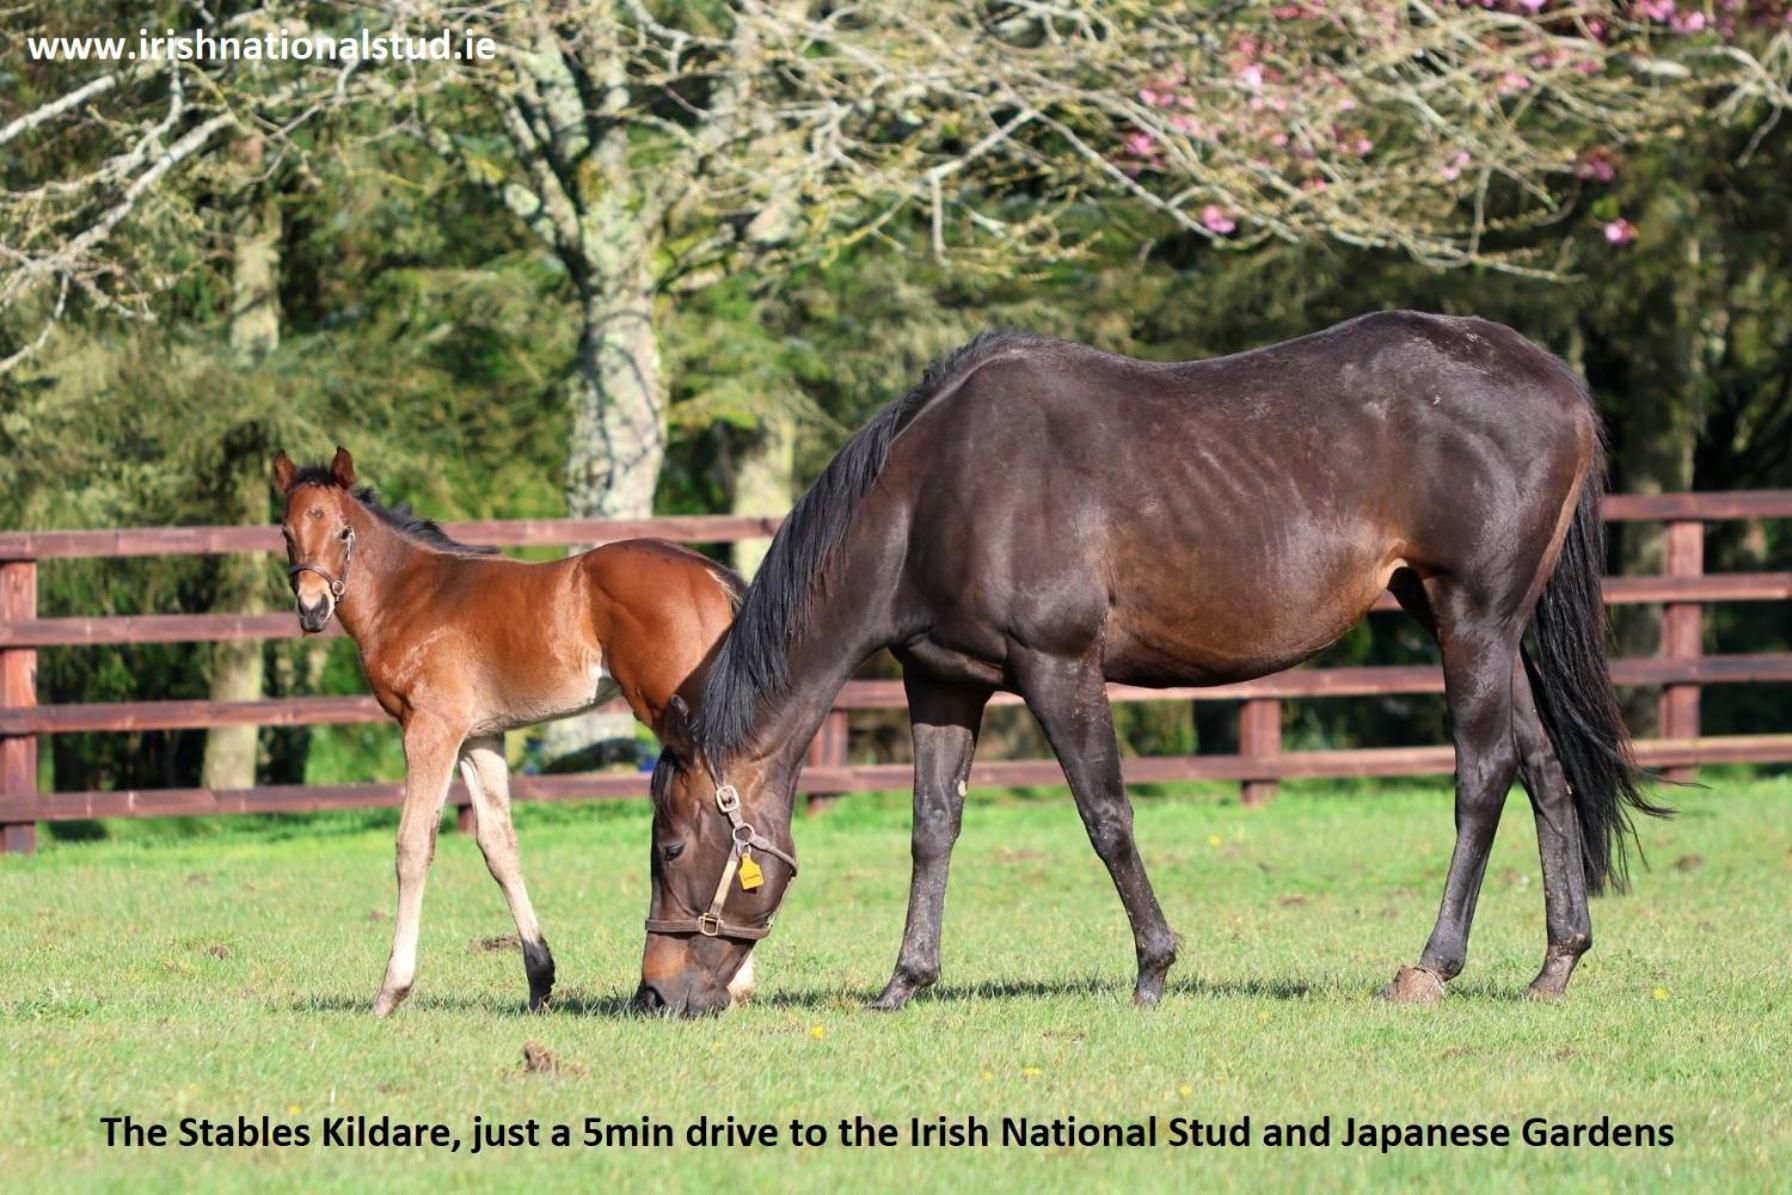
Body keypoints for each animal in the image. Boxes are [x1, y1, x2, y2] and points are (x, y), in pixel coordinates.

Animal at [267, 447, 741, 1017]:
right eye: (286, 532)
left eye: (343, 532)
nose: (312, 609)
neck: (409, 595)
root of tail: (709, 574)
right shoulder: (480, 739)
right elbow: (499, 845)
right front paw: (540, 978)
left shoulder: (431, 728)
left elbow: (413, 844)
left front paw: (391, 990)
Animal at [641, 311, 1662, 1017]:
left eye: (670, 846)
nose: (655, 995)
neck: (935, 489)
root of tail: (1557, 382)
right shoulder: (945, 680)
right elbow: (933, 828)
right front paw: (905, 980)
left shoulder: (1058, 666)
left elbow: (1107, 818)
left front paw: (1152, 968)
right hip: (1479, 626)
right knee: (1545, 770)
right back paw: (1555, 963)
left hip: (1472, 619)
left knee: (1483, 775)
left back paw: (1432, 966)